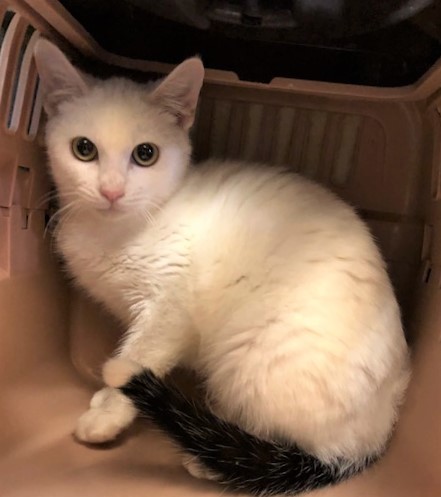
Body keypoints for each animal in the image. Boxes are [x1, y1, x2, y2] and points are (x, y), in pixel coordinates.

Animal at [34, 39, 410, 496]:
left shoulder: (170, 312)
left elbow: (139, 355)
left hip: (249, 360)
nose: (111, 191)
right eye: (84, 149)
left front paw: (106, 412)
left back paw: (210, 459)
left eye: (146, 154)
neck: (115, 231)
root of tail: (377, 431)